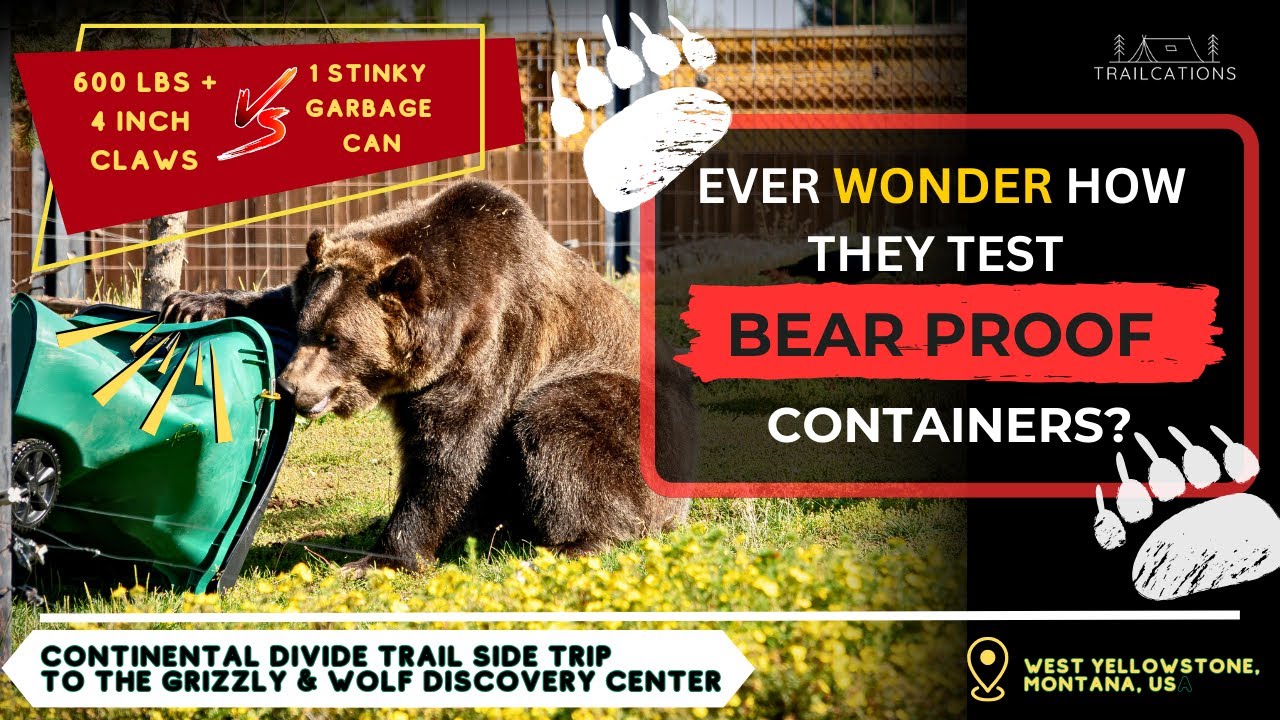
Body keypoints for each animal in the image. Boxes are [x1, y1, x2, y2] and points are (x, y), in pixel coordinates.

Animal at [162, 179, 694, 572]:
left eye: (337, 340)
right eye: (305, 327)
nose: (292, 387)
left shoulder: (492, 348)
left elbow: (449, 453)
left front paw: (380, 559)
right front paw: (193, 302)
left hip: (633, 418)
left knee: (557, 420)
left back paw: (574, 542)